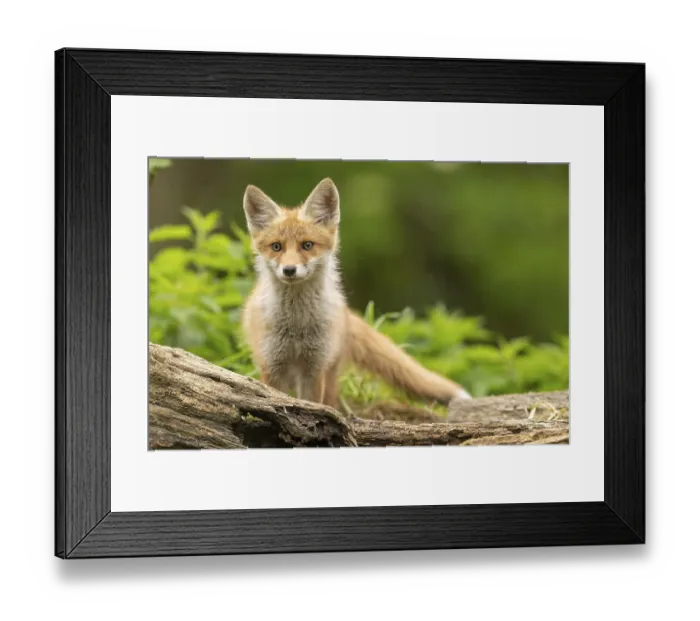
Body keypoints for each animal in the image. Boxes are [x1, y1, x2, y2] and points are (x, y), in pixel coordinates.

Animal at [241, 177, 472, 409]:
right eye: (276, 247)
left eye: (307, 245)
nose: (289, 270)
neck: (297, 325)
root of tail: (346, 313)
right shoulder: (272, 366)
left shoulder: (314, 368)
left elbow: (311, 404)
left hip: (329, 373)